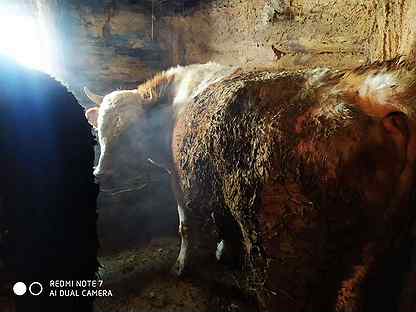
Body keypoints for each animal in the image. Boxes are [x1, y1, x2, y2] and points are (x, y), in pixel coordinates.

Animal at [83, 59, 416, 310]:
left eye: (131, 132)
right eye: (98, 131)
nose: (100, 173)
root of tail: (364, 89)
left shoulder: (179, 176)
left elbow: (186, 225)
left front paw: (181, 266)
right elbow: (221, 217)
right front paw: (224, 250)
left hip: (283, 245)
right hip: (380, 242)